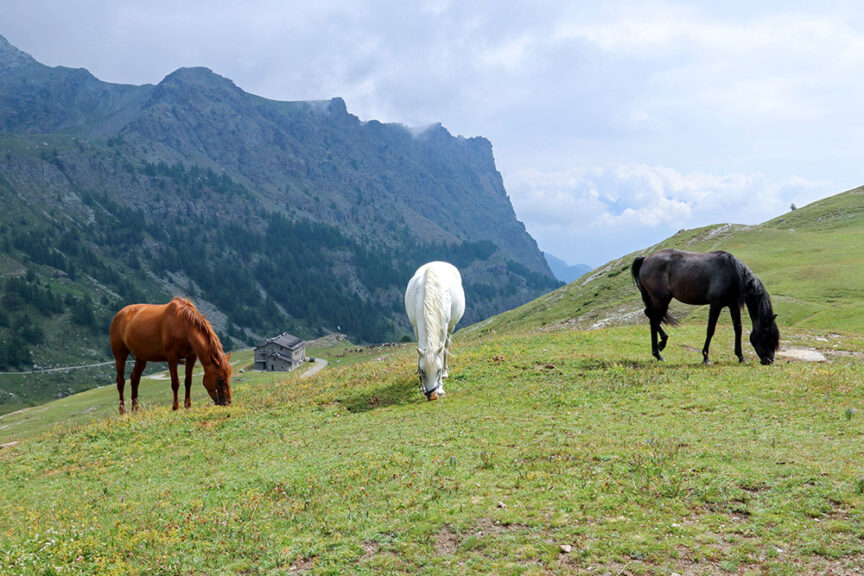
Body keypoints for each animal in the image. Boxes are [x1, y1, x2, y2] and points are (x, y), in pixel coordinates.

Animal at [405, 261, 466, 400]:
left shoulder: (444, 326)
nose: (433, 396)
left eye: (438, 370)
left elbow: (442, 351)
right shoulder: (416, 327)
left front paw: (441, 387)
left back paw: (446, 372)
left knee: (446, 348)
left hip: (451, 327)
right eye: (422, 371)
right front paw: (421, 388)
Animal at [631, 249, 779, 365]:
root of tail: (645, 259)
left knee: (653, 319)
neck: (734, 274)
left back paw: (658, 354)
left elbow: (738, 329)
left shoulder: (733, 305)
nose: (769, 361)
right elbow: (710, 330)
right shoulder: (716, 304)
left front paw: (741, 357)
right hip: (661, 299)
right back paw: (663, 342)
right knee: (650, 315)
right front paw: (706, 357)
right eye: (767, 336)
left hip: (659, 301)